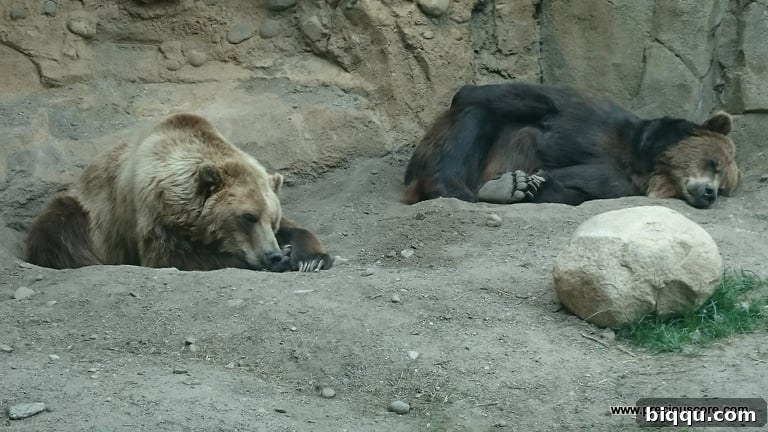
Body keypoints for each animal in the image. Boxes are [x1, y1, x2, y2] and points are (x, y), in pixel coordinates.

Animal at [25, 113, 333, 273]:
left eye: (273, 220)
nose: (273, 255)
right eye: (248, 217)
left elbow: (299, 230)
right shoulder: (153, 213)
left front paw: (309, 258)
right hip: (87, 213)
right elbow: (175, 257)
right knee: (59, 230)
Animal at [403, 82, 740, 209]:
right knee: (474, 119)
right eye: (714, 163)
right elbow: (493, 96)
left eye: (724, 187)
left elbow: (573, 190)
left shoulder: (617, 185)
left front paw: (526, 185)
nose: (709, 193)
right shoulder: (583, 113)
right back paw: (456, 187)